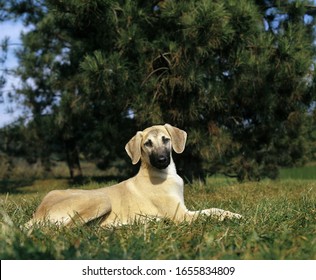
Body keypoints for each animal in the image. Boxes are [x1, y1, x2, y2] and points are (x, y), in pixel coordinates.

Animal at [25, 124, 242, 228]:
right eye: (147, 143)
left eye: (166, 139)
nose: (162, 160)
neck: (160, 175)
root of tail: (38, 213)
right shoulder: (182, 215)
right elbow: (212, 212)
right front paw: (233, 216)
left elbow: (212, 209)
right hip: (101, 199)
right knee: (72, 229)